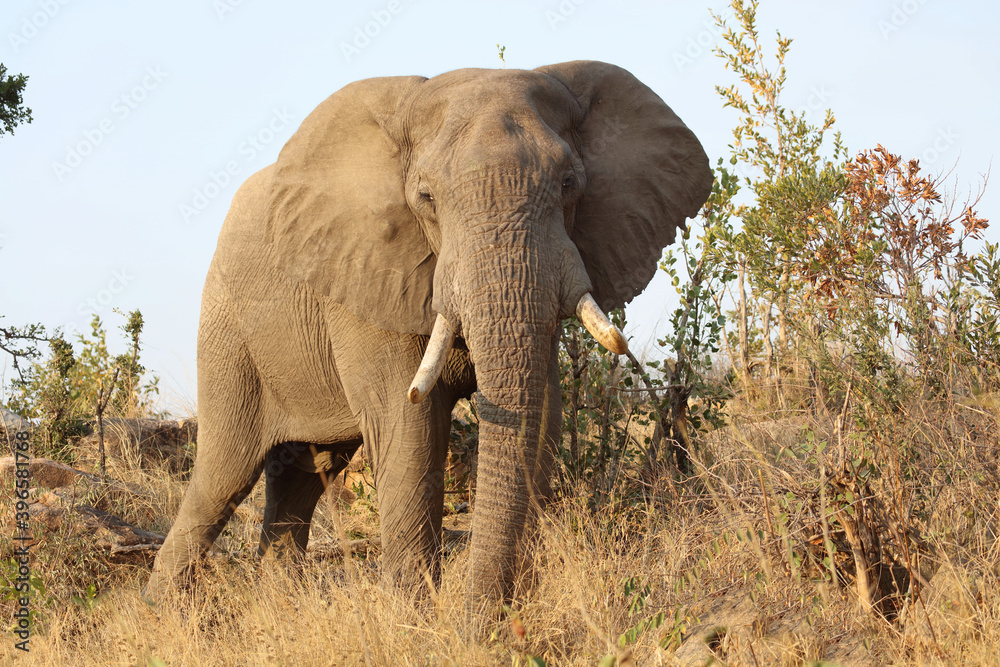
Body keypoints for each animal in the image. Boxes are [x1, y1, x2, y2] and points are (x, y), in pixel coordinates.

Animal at [144, 60, 712, 615]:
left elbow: (544, 412)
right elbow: (408, 426)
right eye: (426, 197)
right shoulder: (365, 274)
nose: (481, 620)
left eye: (570, 182)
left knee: (300, 478)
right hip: (229, 332)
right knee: (223, 476)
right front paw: (414, 622)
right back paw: (165, 615)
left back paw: (279, 610)